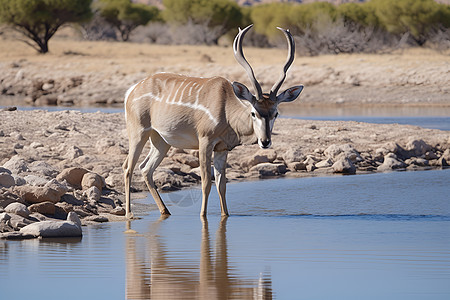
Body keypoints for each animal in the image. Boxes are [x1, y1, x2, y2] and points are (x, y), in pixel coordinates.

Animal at [123, 25, 304, 218]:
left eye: (275, 113)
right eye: (254, 112)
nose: (265, 141)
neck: (226, 109)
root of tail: (131, 91)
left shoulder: (222, 149)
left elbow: (221, 185)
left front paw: (226, 215)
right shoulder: (205, 142)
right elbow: (205, 183)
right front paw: (203, 216)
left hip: (161, 141)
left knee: (145, 168)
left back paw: (165, 211)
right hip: (138, 133)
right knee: (128, 167)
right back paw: (129, 214)